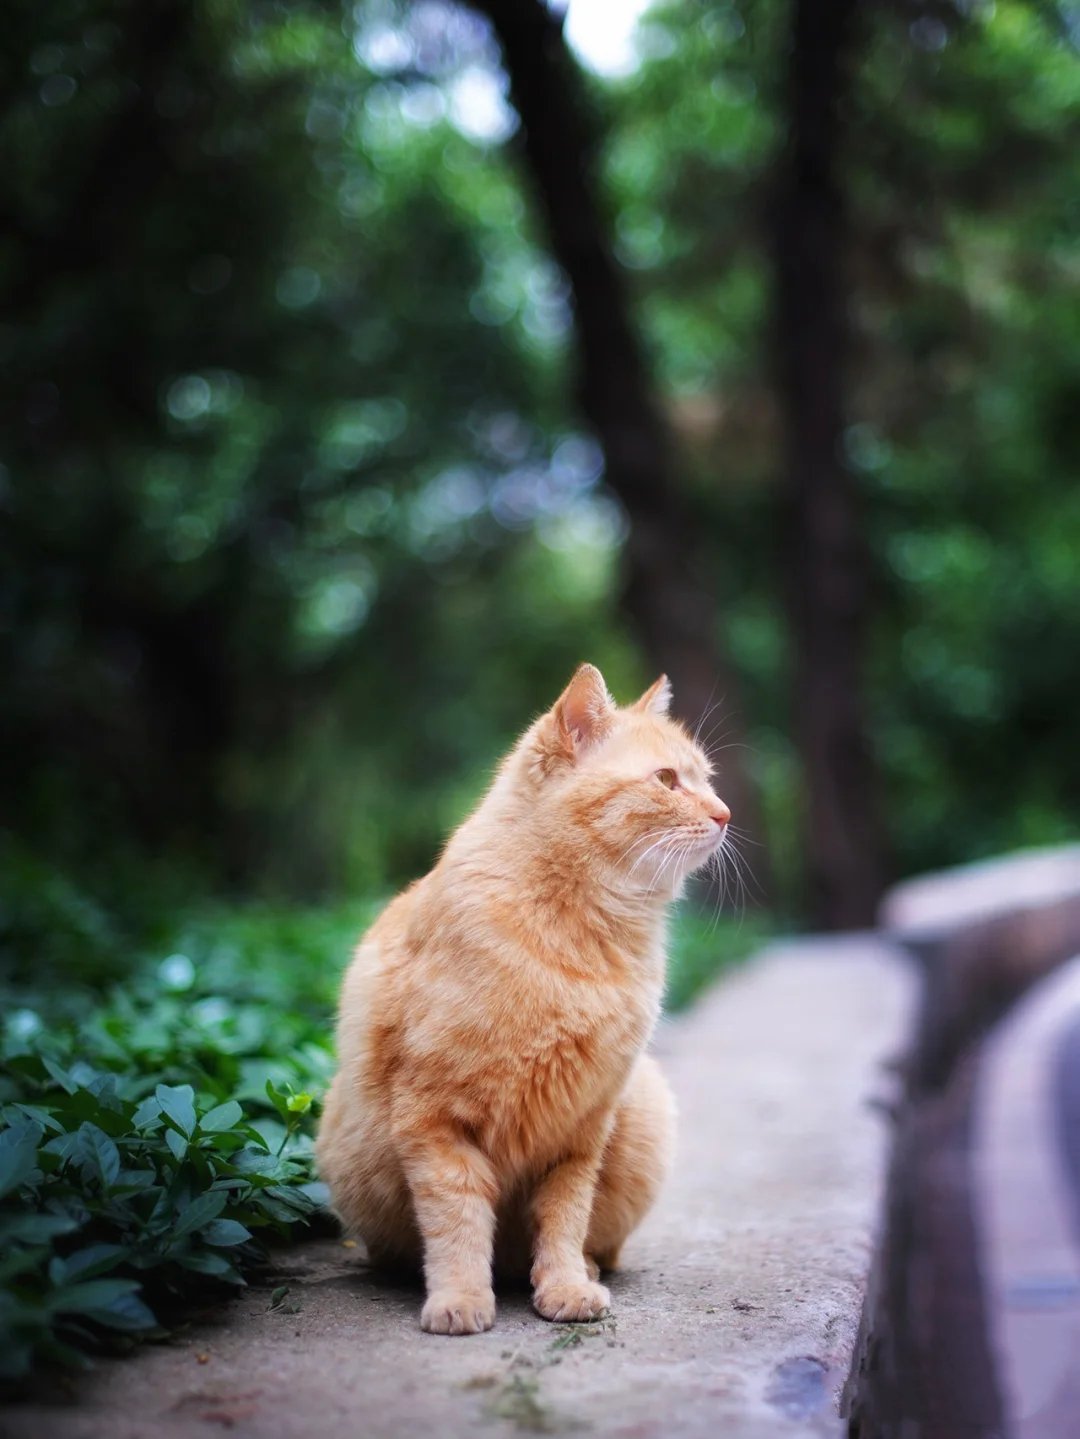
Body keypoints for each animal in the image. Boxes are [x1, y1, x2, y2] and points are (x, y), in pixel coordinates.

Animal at [316, 667, 730, 1329]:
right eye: (667, 780)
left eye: (707, 781)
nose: (725, 813)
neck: (587, 934)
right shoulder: (434, 1121)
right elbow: (456, 1219)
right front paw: (459, 1299)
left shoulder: (580, 1131)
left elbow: (563, 1221)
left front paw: (564, 1286)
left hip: (642, 1107)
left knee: (594, 1245)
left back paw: (583, 1270)